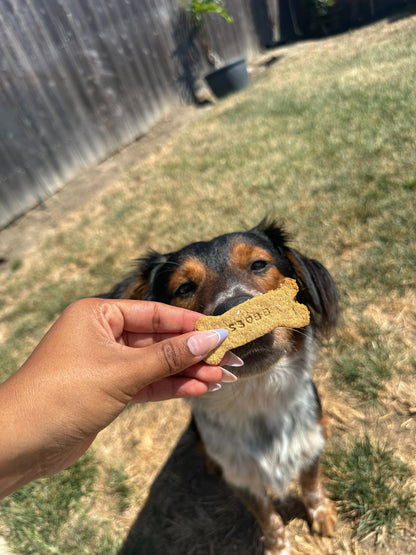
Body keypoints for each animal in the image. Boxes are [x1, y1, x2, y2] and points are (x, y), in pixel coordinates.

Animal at [103, 219, 338, 552]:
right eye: (184, 288)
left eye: (259, 264)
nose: (238, 310)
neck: (256, 394)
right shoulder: (242, 478)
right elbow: (269, 519)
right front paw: (278, 547)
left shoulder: (307, 447)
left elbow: (312, 485)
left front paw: (322, 514)